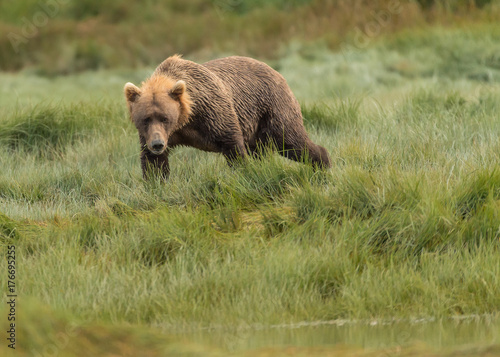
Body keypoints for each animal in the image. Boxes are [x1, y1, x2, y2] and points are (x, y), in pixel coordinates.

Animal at [123, 54, 330, 179]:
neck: (186, 119)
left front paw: (244, 174)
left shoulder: (213, 111)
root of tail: (277, 72)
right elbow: (153, 163)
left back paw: (322, 164)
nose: (157, 144)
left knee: (289, 140)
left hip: (272, 107)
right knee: (262, 150)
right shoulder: (157, 136)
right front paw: (156, 183)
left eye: (165, 118)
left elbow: (232, 143)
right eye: (145, 119)